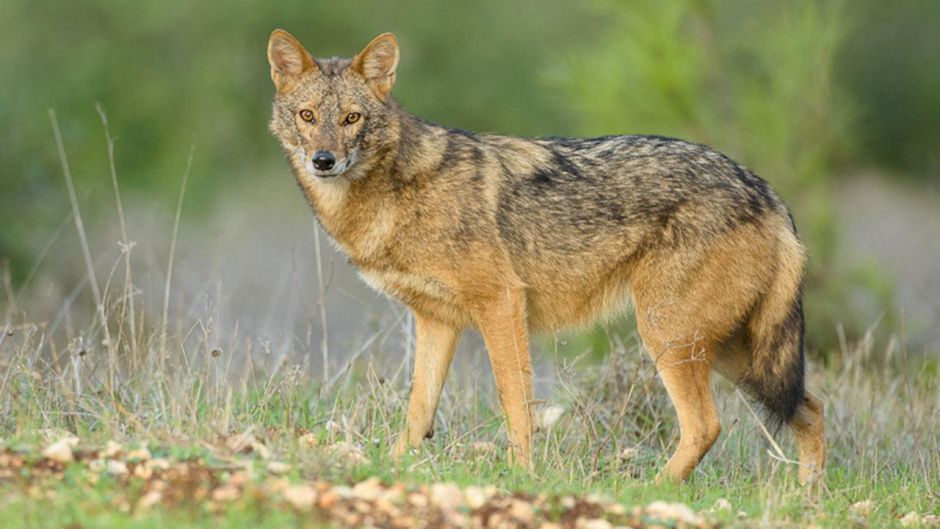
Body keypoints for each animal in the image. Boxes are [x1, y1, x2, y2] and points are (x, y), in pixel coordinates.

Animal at [266, 30, 825, 484]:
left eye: (351, 118)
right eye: (308, 116)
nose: (323, 160)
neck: (394, 195)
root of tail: (768, 194)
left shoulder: (501, 304)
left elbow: (516, 404)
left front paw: (521, 476)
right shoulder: (437, 321)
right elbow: (418, 411)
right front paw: (396, 465)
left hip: (671, 338)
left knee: (707, 426)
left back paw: (649, 490)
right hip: (734, 354)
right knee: (811, 409)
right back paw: (806, 500)